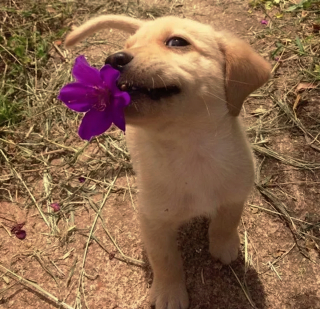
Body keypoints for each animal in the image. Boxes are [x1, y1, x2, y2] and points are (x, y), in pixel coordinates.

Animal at [65, 15, 270, 308]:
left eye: (176, 42)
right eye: (127, 46)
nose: (113, 59)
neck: (191, 149)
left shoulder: (236, 192)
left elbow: (226, 222)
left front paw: (224, 246)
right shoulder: (153, 222)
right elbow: (166, 261)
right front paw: (169, 293)